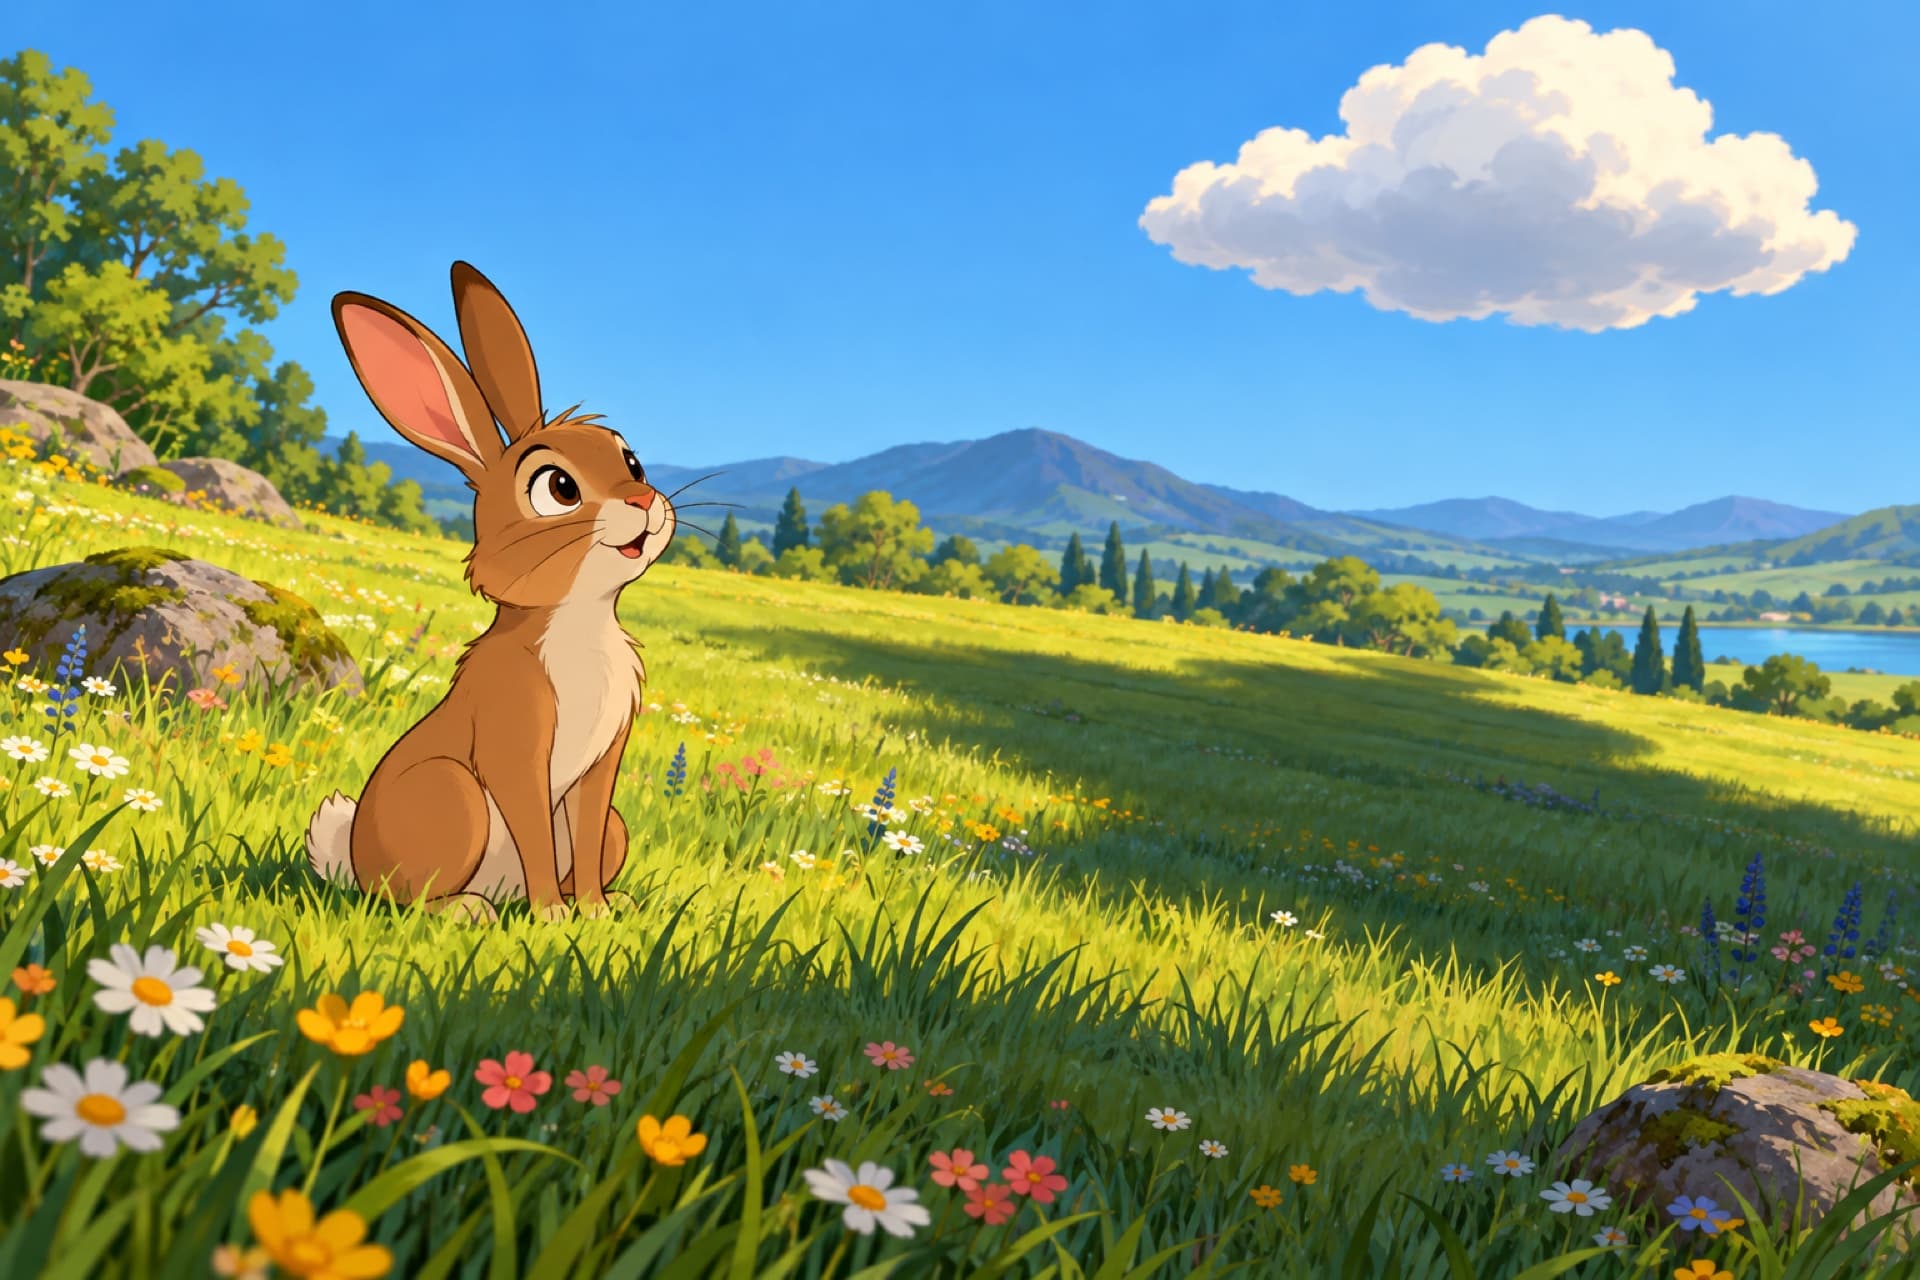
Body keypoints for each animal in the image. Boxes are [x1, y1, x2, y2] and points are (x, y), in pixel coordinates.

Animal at [304, 261, 675, 922]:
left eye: (630, 460)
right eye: (557, 487)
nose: (643, 502)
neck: (577, 620)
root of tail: (352, 860)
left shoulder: (602, 766)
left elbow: (582, 834)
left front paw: (595, 910)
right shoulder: (516, 746)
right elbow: (533, 830)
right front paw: (552, 915)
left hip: (614, 826)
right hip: (452, 794)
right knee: (405, 895)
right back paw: (468, 910)